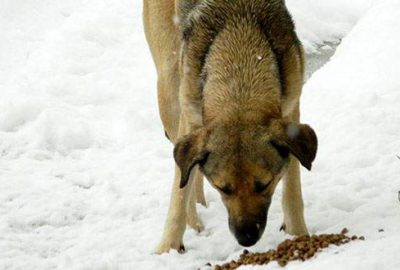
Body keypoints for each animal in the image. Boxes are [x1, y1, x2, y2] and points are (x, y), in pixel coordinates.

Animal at [142, 0, 318, 254]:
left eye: (264, 184)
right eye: (223, 188)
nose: (246, 238)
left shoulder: (292, 108)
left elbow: (292, 187)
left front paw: (298, 235)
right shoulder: (190, 114)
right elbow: (179, 191)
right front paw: (167, 249)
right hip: (170, 89)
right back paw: (195, 224)